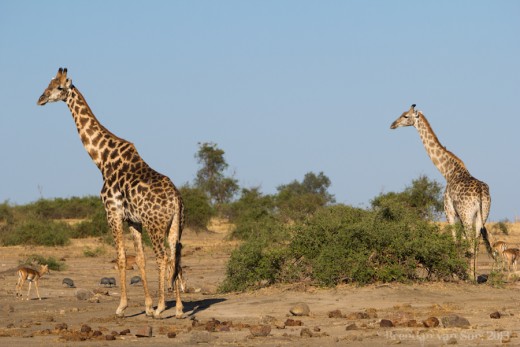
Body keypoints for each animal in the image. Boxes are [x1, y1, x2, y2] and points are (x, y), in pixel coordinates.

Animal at [36, 67, 184, 318]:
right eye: (48, 83)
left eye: (59, 87)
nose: (41, 99)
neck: (102, 159)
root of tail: (175, 200)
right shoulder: (133, 220)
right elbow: (139, 259)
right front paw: (146, 306)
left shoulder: (112, 213)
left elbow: (122, 258)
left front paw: (123, 307)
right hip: (175, 225)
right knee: (175, 256)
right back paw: (180, 309)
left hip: (155, 225)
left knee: (163, 256)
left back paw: (162, 307)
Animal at [392, 104, 494, 280]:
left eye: (405, 116)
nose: (393, 124)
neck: (448, 172)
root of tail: (481, 192)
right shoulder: (460, 214)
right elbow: (461, 241)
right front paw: (461, 272)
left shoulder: (449, 211)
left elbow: (455, 241)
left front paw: (456, 273)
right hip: (482, 214)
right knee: (476, 242)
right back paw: (474, 276)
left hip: (467, 214)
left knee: (471, 242)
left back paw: (470, 277)